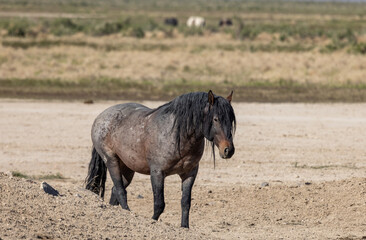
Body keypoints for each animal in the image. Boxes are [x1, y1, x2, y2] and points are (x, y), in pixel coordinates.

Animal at [84, 89, 236, 227]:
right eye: (216, 119)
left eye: (231, 120)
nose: (228, 150)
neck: (178, 135)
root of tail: (101, 116)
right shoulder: (157, 173)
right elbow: (159, 204)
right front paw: (152, 221)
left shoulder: (190, 173)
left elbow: (185, 202)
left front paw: (184, 227)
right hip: (112, 161)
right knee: (120, 191)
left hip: (127, 168)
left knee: (116, 190)